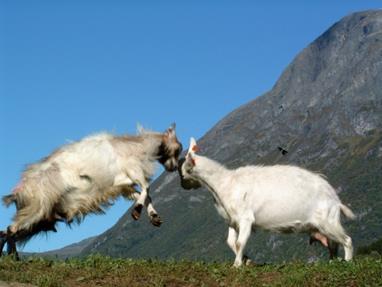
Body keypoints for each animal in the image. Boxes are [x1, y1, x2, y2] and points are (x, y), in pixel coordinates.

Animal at [179, 138, 356, 266]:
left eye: (184, 170)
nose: (183, 186)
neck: (223, 183)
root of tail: (334, 199)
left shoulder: (245, 218)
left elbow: (239, 242)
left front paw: (236, 265)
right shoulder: (233, 221)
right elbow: (230, 242)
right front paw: (246, 261)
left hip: (328, 221)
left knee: (347, 240)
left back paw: (347, 262)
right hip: (322, 227)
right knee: (333, 245)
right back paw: (333, 262)